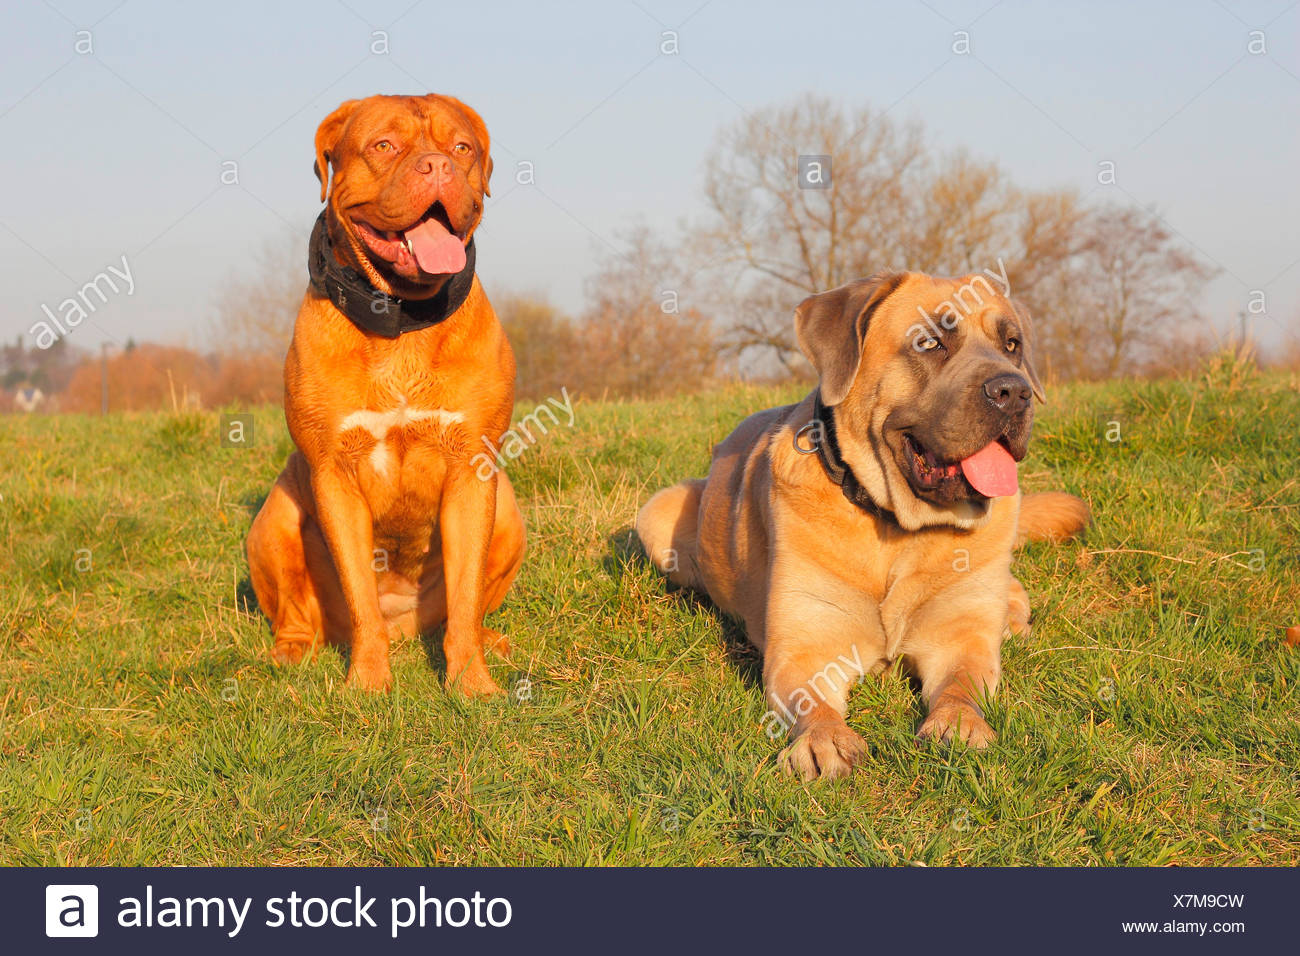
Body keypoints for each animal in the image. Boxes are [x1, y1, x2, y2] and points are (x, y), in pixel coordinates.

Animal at [245, 95, 520, 697]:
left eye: (462, 147)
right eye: (384, 146)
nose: (438, 166)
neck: (403, 320)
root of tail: (405, 628)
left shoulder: (473, 471)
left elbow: (466, 596)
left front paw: (472, 684)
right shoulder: (334, 476)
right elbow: (360, 598)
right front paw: (367, 686)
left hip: (509, 512)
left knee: (467, 610)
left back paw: (490, 641)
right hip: (274, 520)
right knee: (300, 614)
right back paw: (290, 654)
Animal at [631, 269, 1086, 780]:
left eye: (1012, 345)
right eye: (929, 342)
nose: (1014, 391)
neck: (899, 531)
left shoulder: (960, 638)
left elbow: (961, 685)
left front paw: (960, 724)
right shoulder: (806, 646)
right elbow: (813, 702)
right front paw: (823, 740)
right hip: (658, 512)